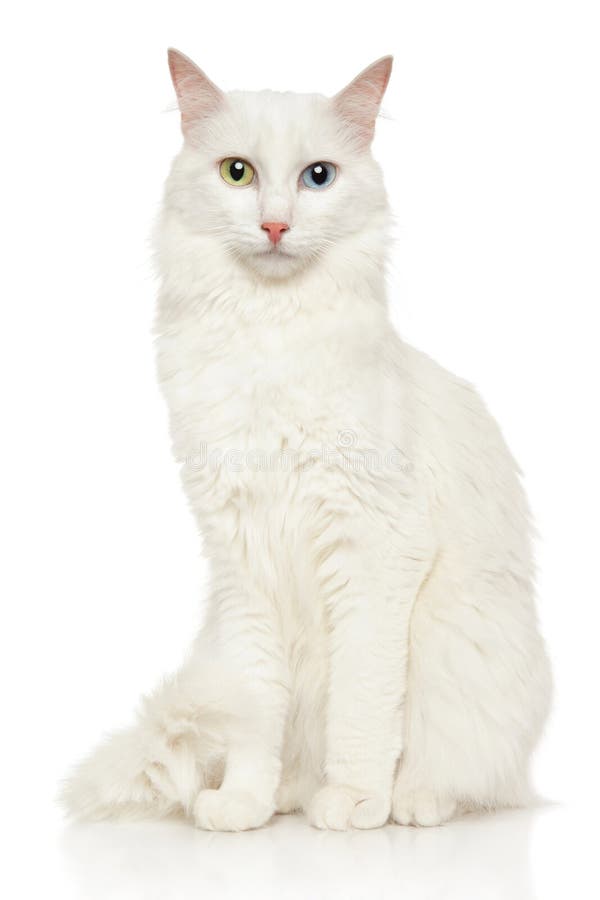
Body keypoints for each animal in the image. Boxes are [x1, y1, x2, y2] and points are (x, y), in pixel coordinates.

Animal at [62, 52, 552, 832]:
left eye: (317, 176)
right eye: (237, 172)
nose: (274, 224)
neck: (267, 341)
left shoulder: (374, 548)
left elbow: (363, 703)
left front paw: (353, 802)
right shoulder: (240, 561)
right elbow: (252, 709)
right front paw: (243, 803)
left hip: (465, 654)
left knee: (463, 771)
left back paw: (409, 802)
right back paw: (288, 794)